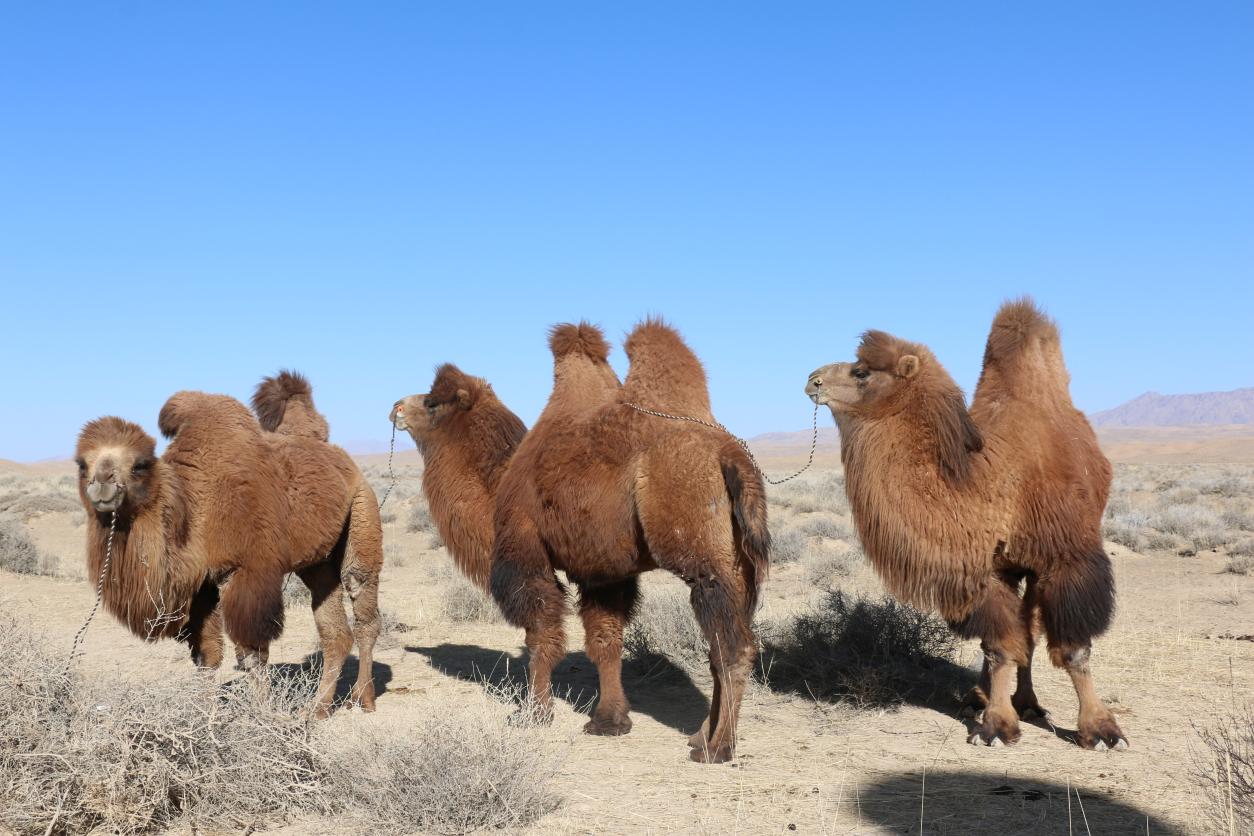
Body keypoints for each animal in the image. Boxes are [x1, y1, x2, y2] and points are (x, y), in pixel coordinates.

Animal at [75, 378, 378, 711]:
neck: (195, 508)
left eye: (140, 465)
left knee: (363, 604)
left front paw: (260, 711)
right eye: (81, 464)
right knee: (334, 628)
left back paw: (364, 698)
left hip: (363, 511)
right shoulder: (201, 587)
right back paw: (316, 711)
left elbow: (252, 653)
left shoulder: (248, 572)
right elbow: (206, 655)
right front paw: (205, 712)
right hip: (317, 561)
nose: (102, 483)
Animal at [486, 323, 762, 767]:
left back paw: (717, 747)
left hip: (703, 557)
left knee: (732, 649)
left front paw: (535, 713)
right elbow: (606, 640)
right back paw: (701, 737)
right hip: (739, 563)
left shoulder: (526, 550)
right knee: (723, 645)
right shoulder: (604, 572)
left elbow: (541, 634)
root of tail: (731, 455)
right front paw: (609, 720)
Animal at [807, 299, 1133, 752]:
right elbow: (999, 647)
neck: (993, 484)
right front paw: (996, 723)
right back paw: (986, 697)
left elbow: (1074, 650)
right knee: (1018, 636)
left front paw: (1101, 729)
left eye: (861, 372)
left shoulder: (1065, 559)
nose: (812, 379)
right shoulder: (989, 569)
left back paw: (1028, 703)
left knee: (1032, 630)